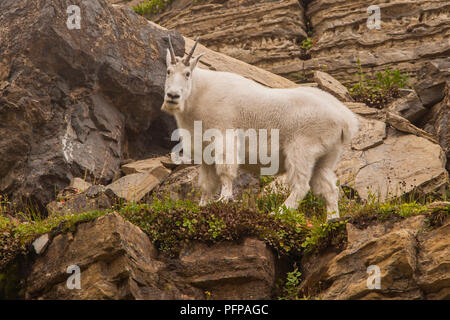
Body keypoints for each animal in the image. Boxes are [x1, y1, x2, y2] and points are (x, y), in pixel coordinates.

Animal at [162, 37, 358, 221]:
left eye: (187, 73)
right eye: (168, 71)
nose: (172, 96)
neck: (198, 93)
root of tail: (346, 119)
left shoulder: (225, 136)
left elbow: (226, 171)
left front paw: (224, 200)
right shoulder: (204, 151)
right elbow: (206, 184)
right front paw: (202, 206)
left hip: (302, 149)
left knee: (302, 185)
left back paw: (278, 213)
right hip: (327, 156)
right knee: (329, 188)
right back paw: (331, 220)